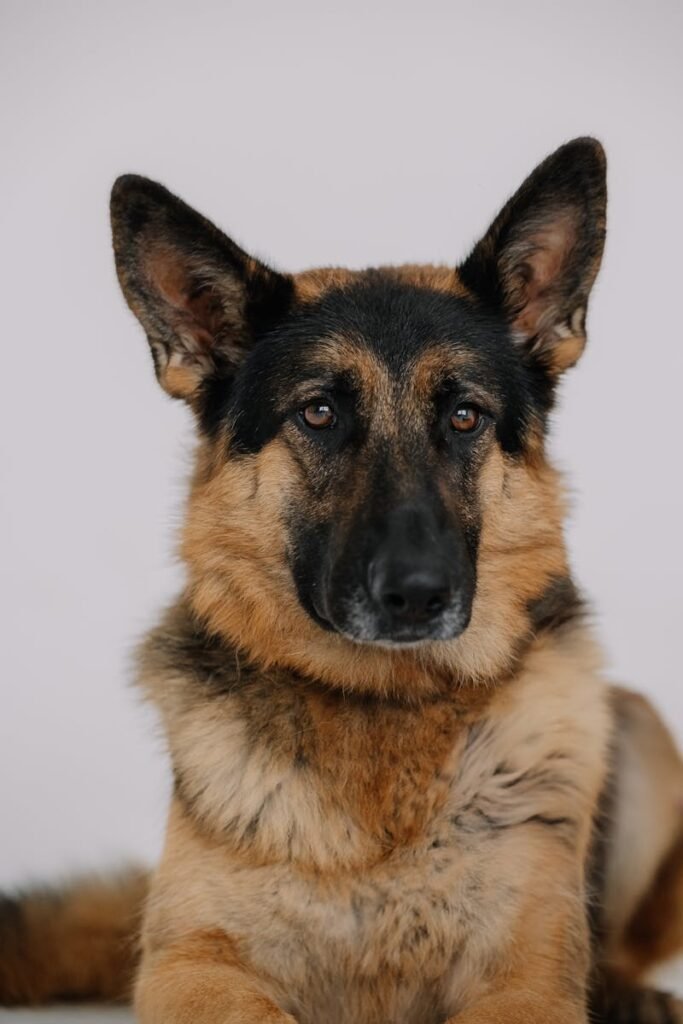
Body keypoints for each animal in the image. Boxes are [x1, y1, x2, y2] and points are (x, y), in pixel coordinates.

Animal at [1, 138, 683, 1024]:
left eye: (463, 416)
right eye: (318, 414)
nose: (418, 595)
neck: (382, 709)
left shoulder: (524, 980)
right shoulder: (190, 968)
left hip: (641, 731)